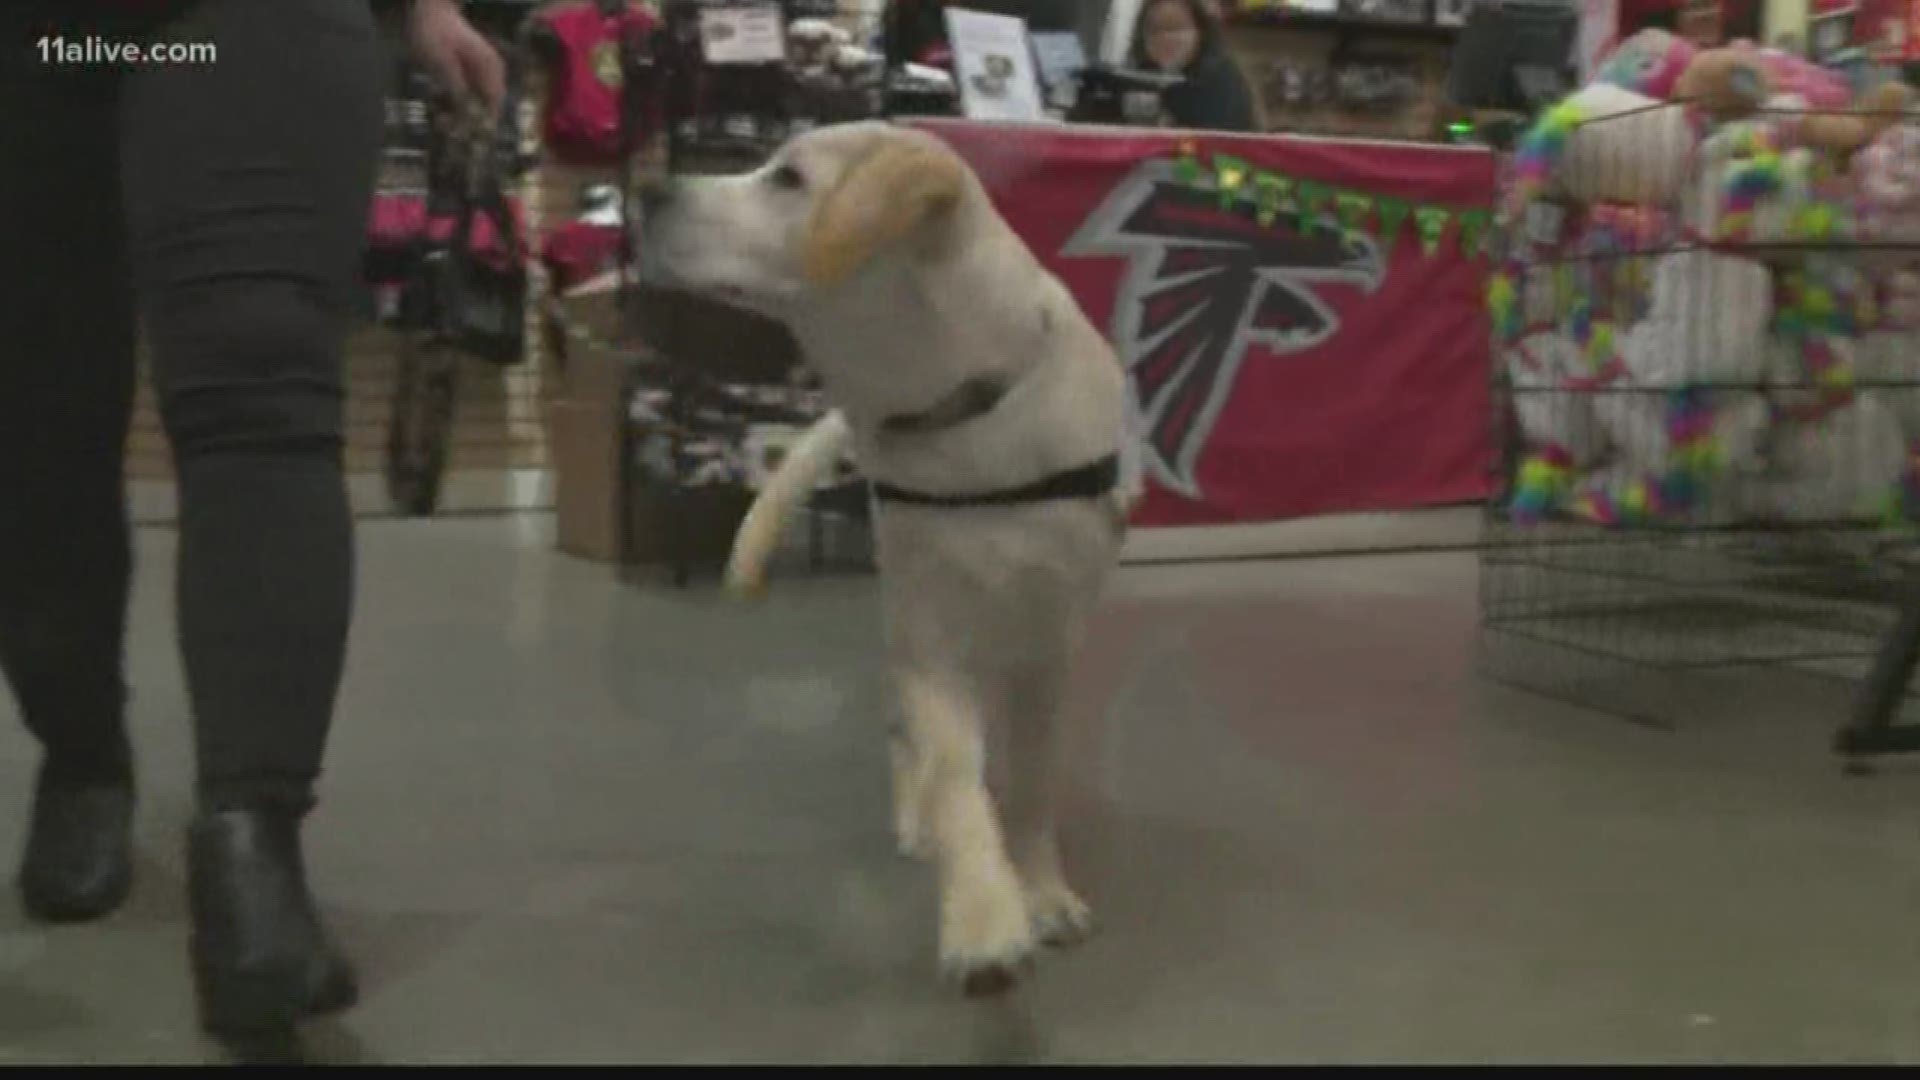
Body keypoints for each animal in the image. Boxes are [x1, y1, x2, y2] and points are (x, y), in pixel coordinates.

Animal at [629, 119, 1136, 991]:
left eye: (787, 178)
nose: (647, 190)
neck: (966, 422)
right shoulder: (928, 634)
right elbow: (957, 773)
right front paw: (983, 916)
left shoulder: (1049, 643)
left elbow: (1034, 782)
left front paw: (1041, 890)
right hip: (901, 613)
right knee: (908, 732)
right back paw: (919, 820)